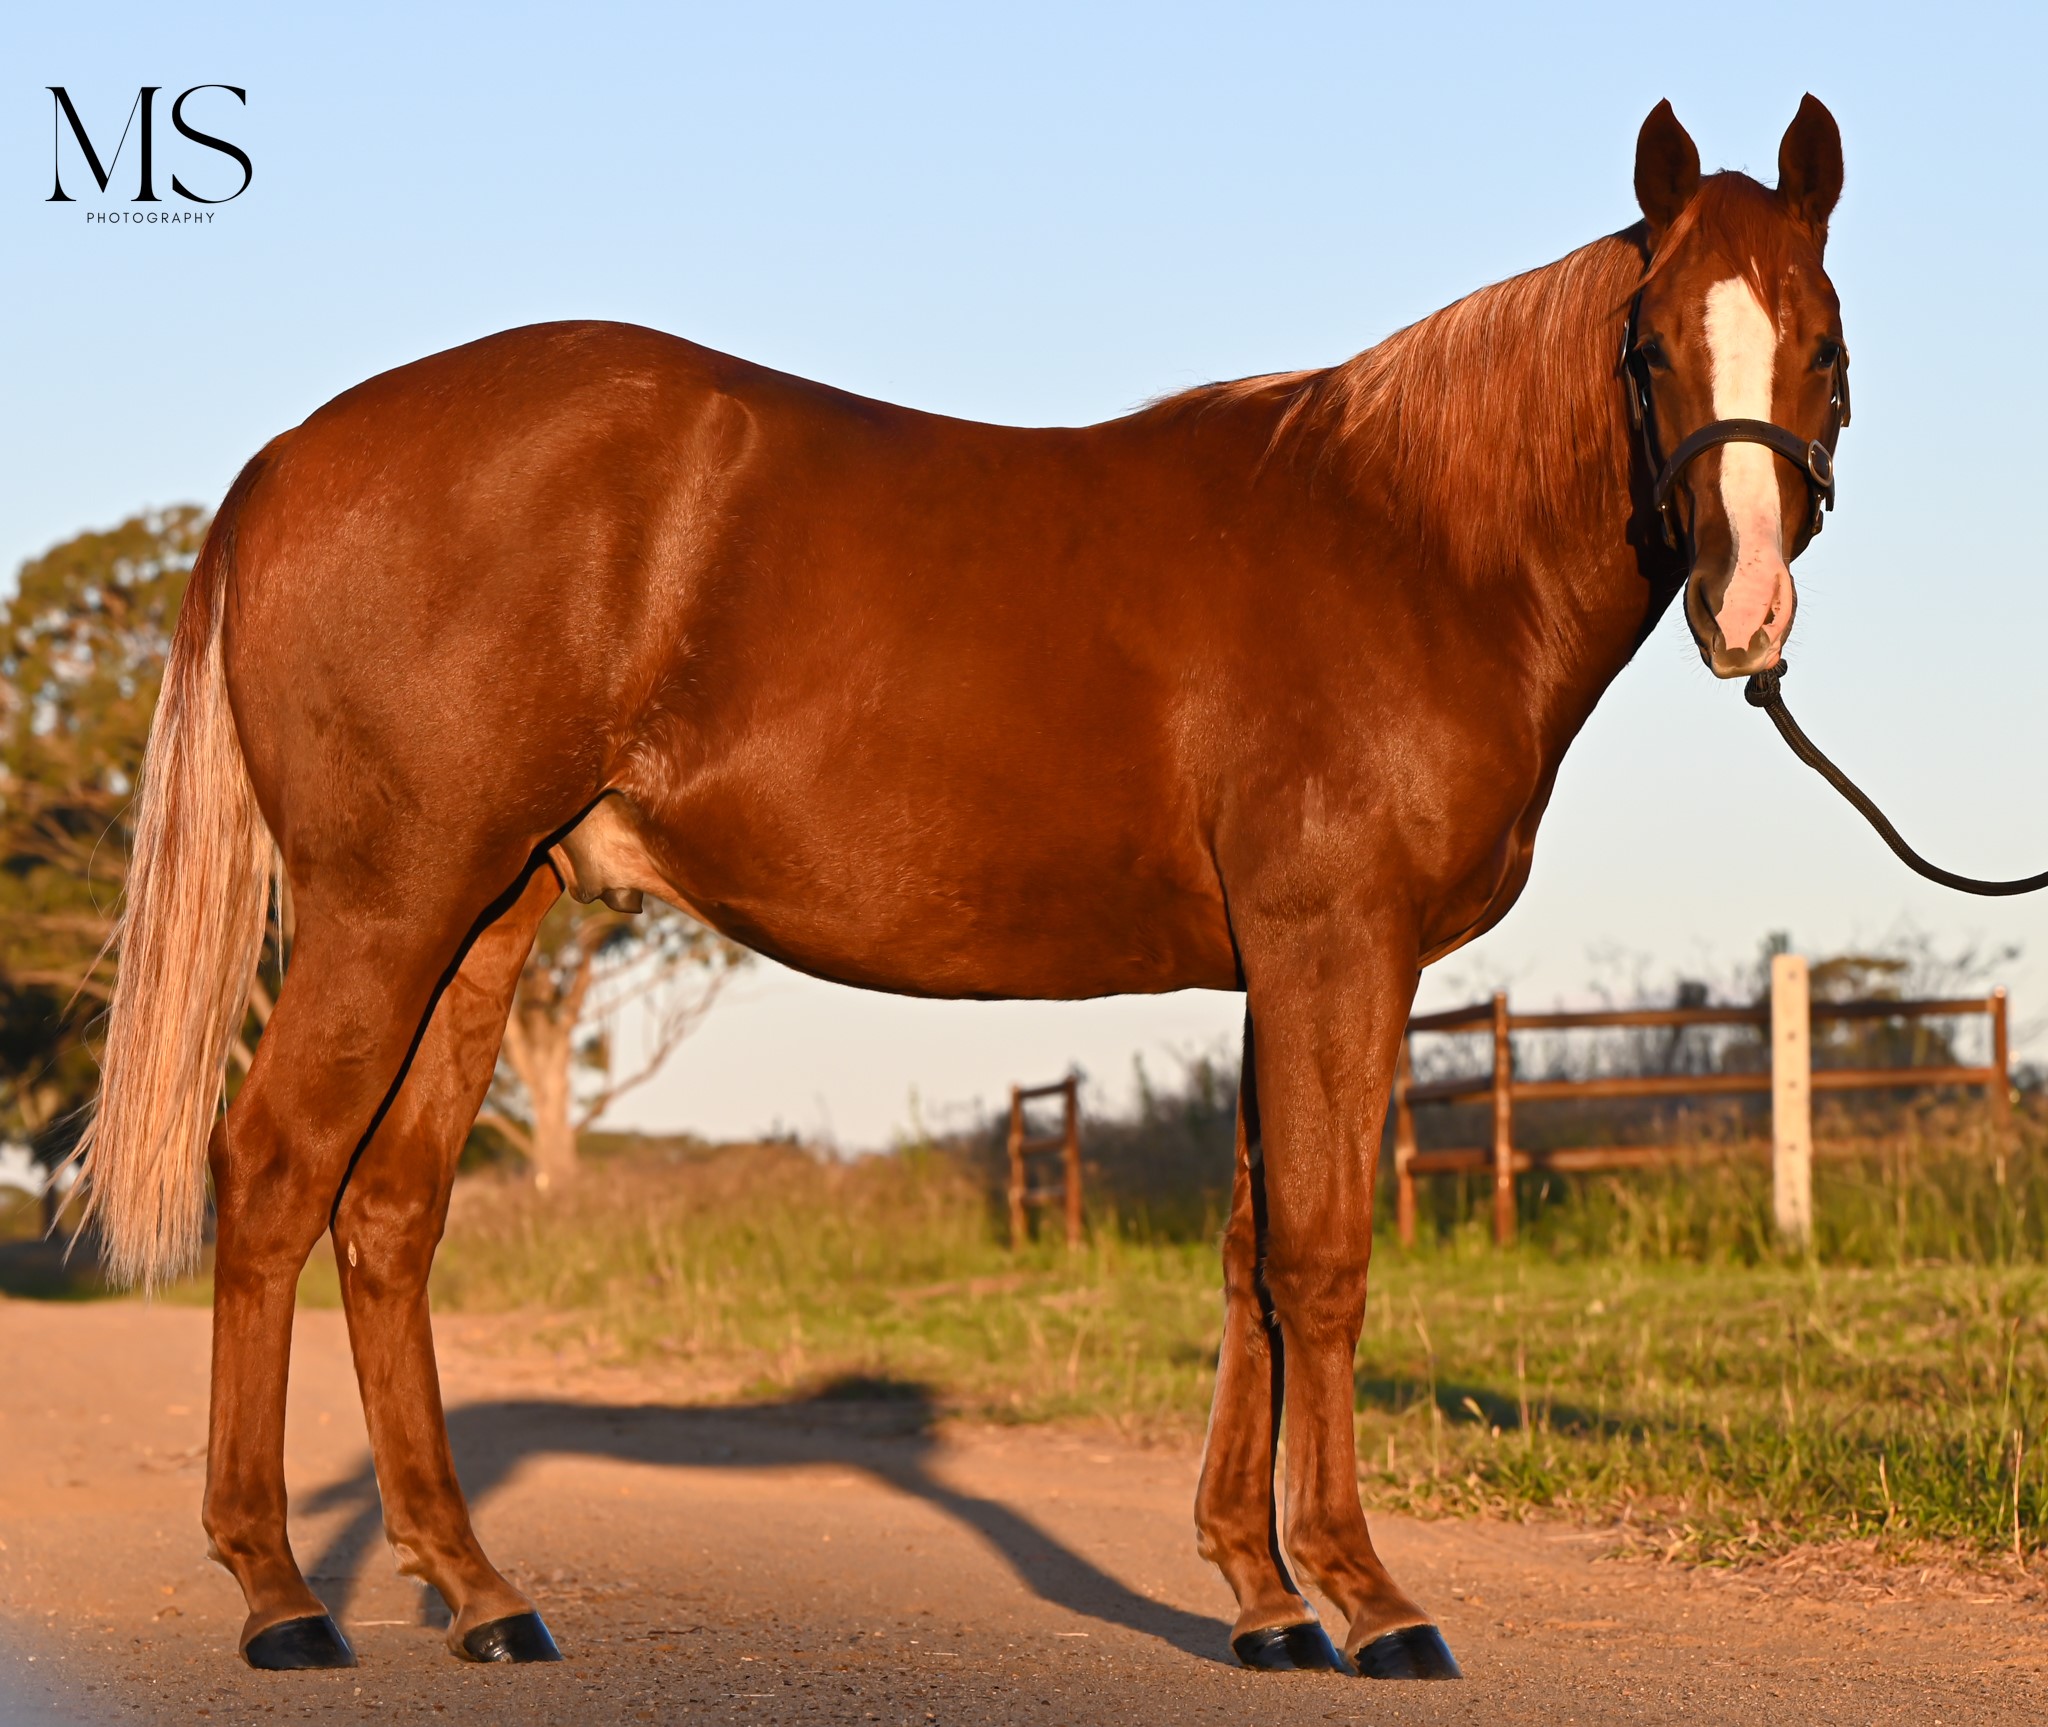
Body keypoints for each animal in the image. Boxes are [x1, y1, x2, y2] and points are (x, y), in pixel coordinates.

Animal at [82, 94, 1848, 1678]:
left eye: (1823, 343)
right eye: (1651, 349)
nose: (1748, 608)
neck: (1406, 542)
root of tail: (286, 458)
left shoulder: (1275, 968)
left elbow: (1248, 1256)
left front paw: (1262, 1597)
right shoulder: (1338, 951)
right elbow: (1323, 1260)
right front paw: (1369, 1598)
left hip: (486, 915)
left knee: (388, 1213)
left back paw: (478, 1589)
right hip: (388, 906)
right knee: (274, 1172)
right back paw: (280, 1594)